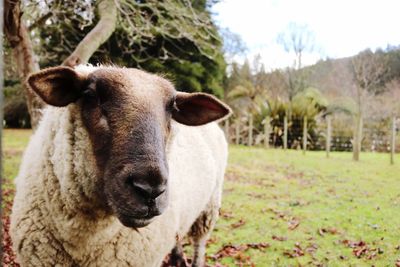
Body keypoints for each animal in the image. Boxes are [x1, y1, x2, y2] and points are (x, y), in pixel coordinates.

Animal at [10, 65, 231, 267]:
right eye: (90, 95)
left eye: (173, 109)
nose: (150, 190)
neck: (84, 242)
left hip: (210, 205)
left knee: (199, 242)